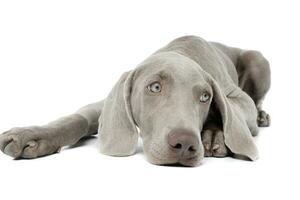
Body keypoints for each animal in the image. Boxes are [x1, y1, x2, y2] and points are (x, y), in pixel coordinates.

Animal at [0, 35, 272, 166]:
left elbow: (233, 109)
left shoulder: (237, 97)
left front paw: (214, 134)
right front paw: (32, 135)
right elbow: (80, 117)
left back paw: (261, 116)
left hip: (259, 61)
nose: (185, 144)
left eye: (205, 97)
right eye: (154, 87)